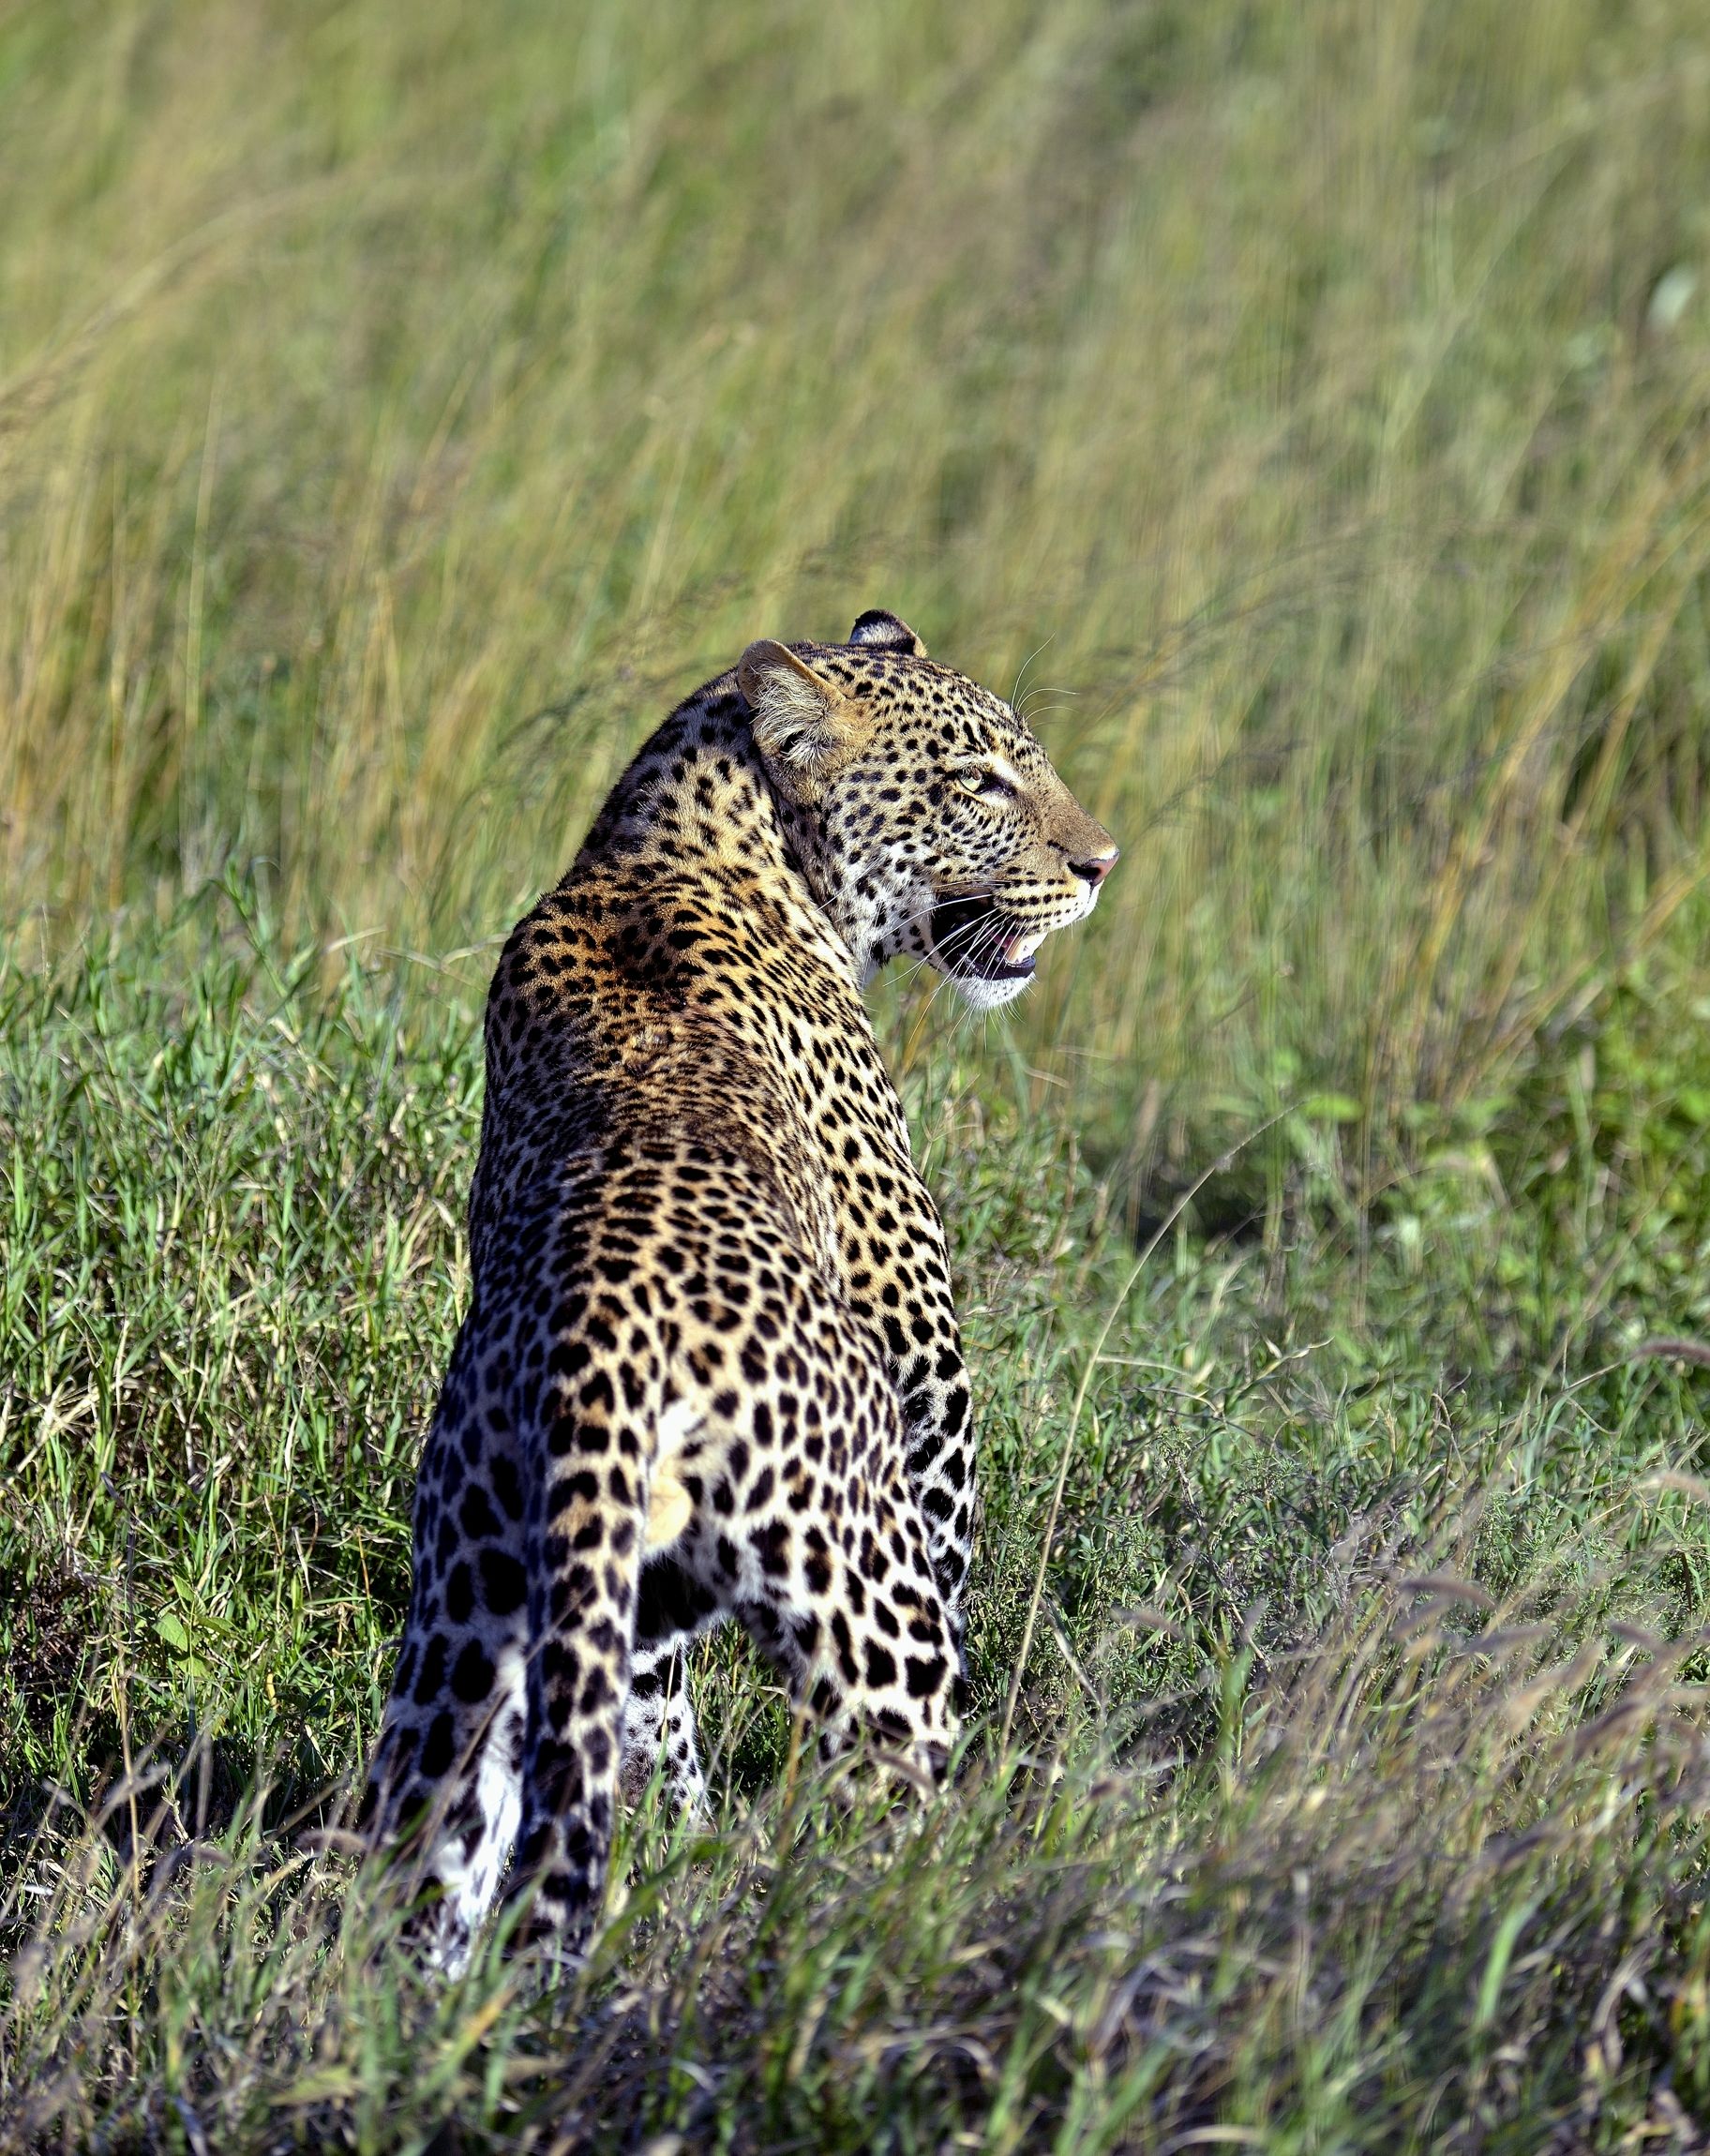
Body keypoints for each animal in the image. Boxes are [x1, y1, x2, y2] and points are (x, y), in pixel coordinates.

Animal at [360, 610, 1118, 1971]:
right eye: (983, 780)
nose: (1101, 864)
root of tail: (600, 1336)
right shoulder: (924, 1360)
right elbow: (956, 1556)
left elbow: (650, 1729)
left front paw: (683, 1837)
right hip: (863, 1603)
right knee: (890, 1793)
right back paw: (931, 1919)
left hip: (463, 1621)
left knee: (428, 1875)